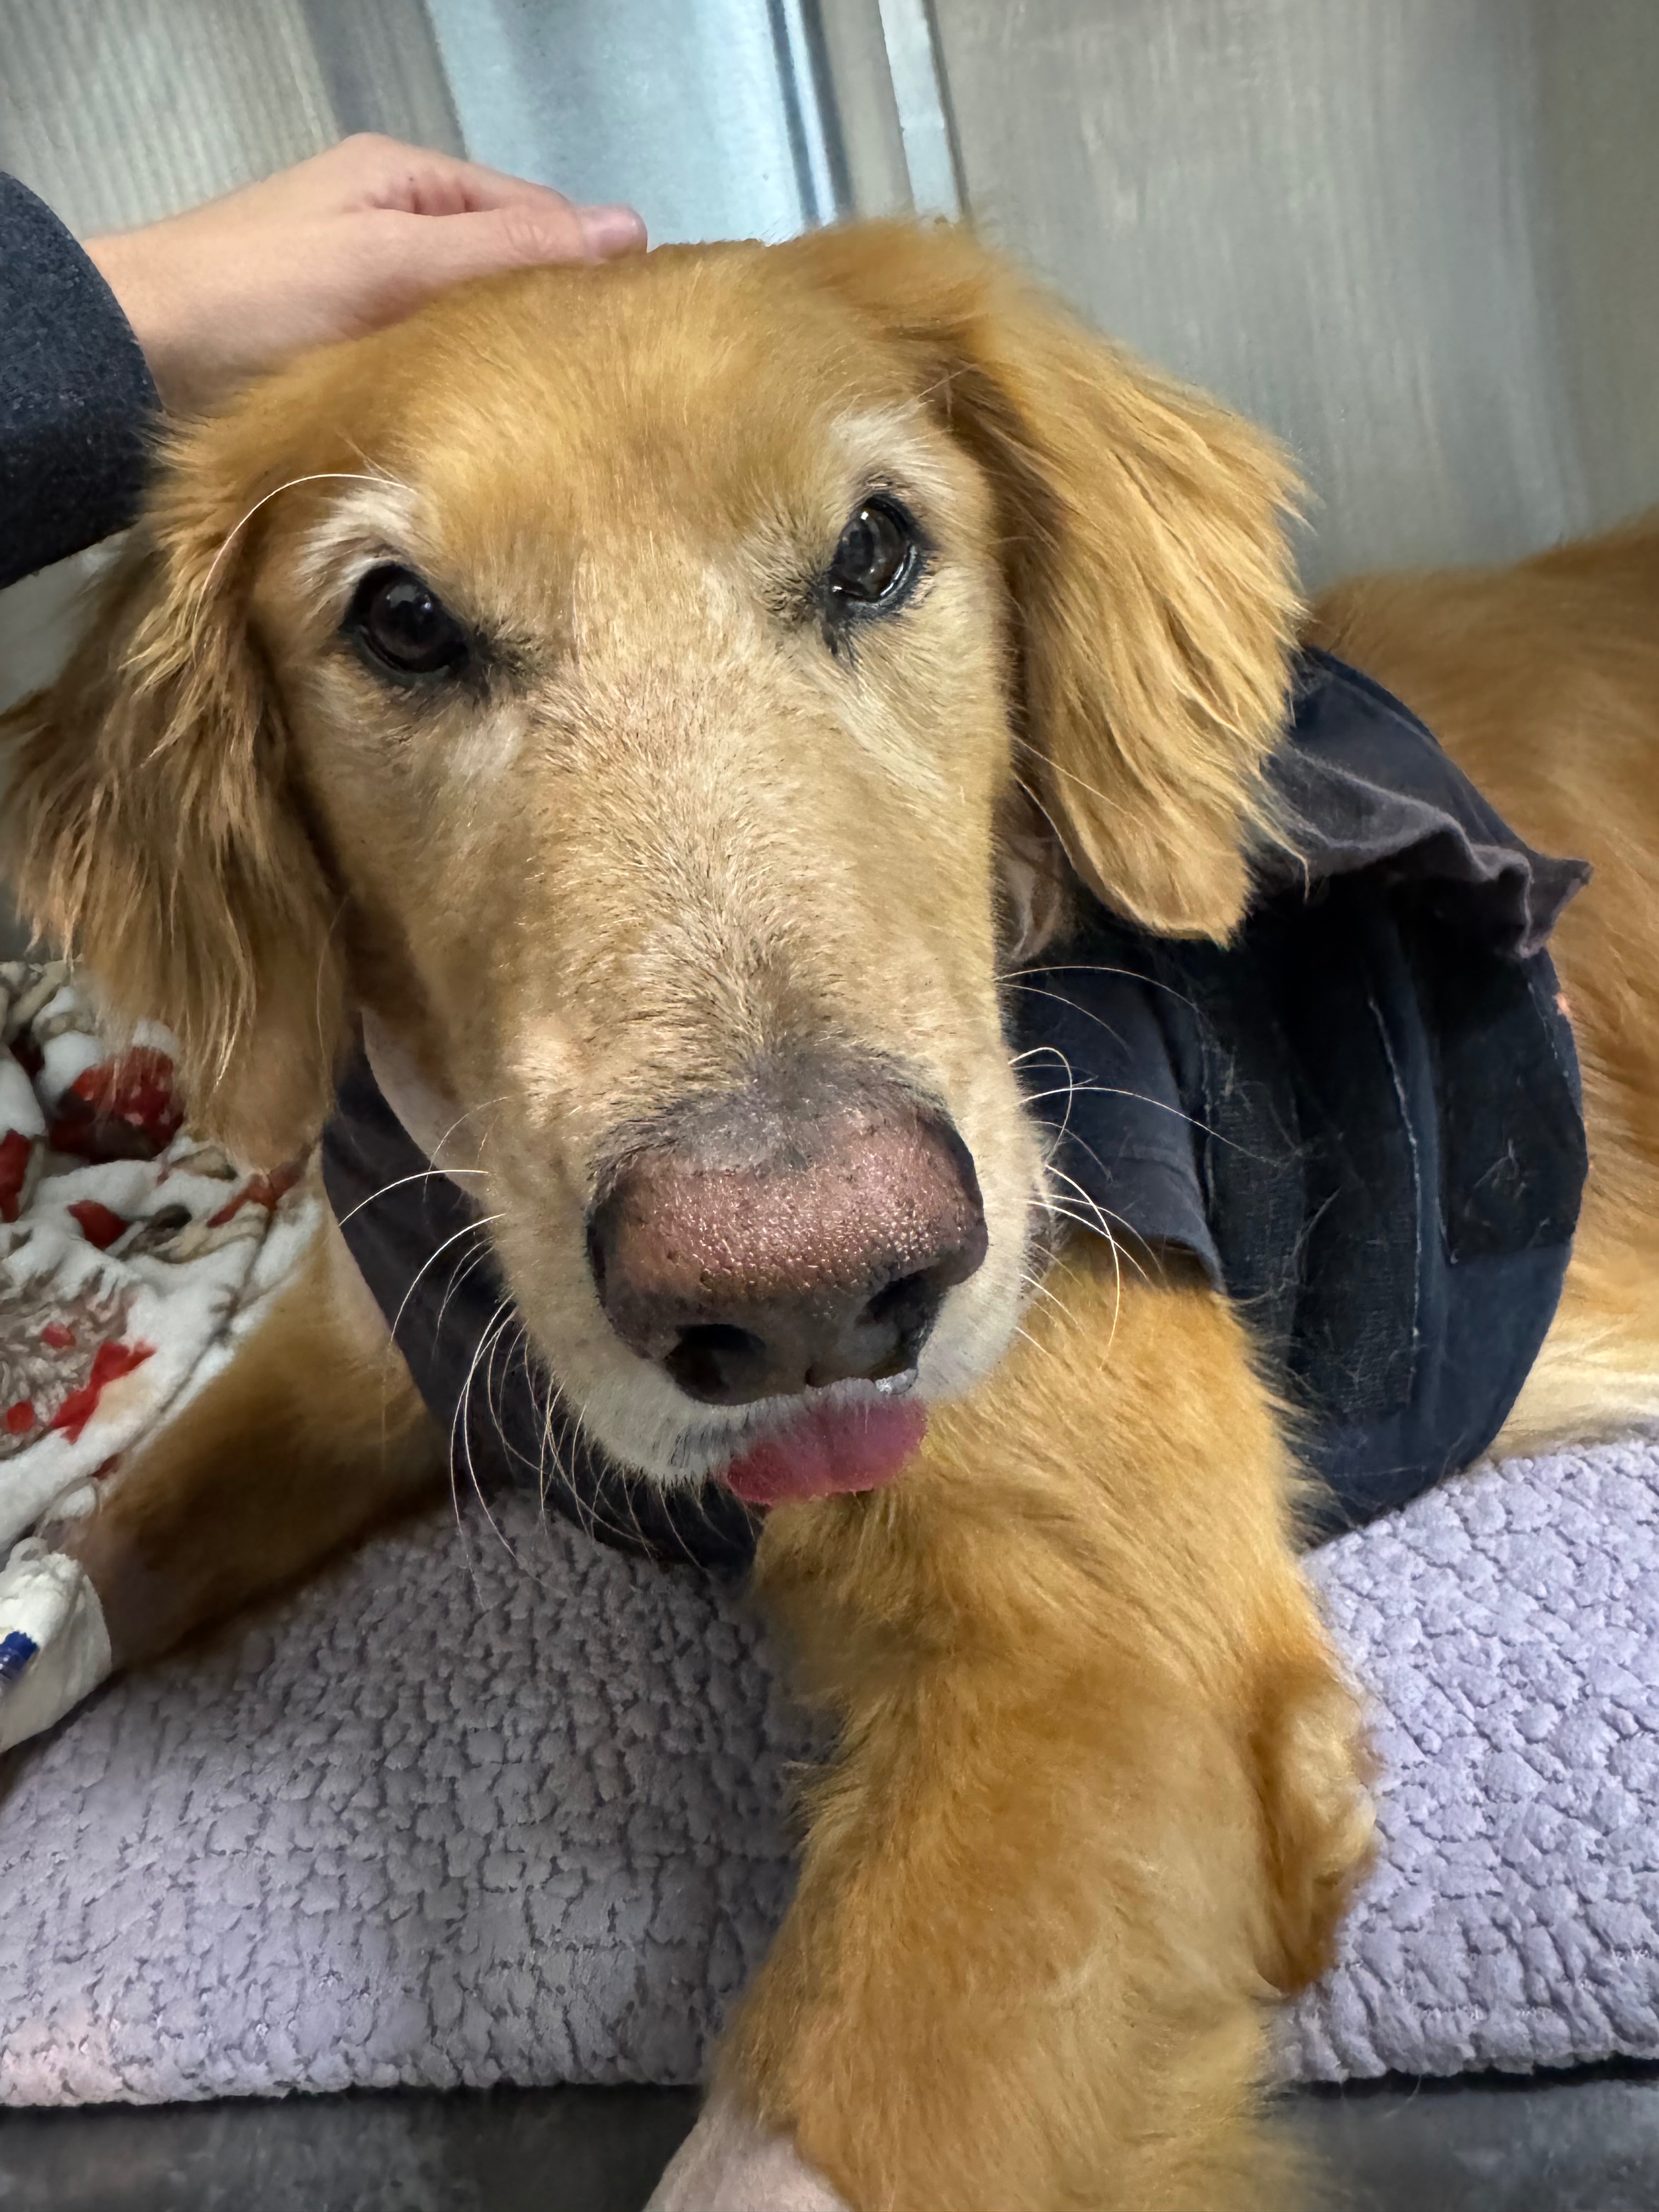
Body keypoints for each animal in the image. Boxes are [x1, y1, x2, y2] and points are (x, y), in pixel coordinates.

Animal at [7, 221, 1659, 2210]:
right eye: (402, 622)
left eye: (875, 548)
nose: (810, 1291)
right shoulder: (356, 1353)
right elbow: (104, 1543)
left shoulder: (1112, 1667)